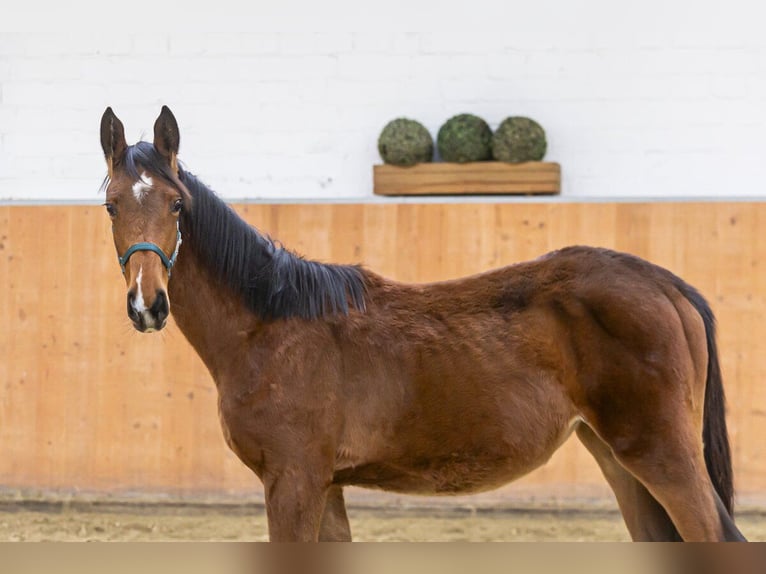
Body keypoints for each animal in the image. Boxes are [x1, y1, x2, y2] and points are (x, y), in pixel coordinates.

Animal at [99, 106, 748, 544]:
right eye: (111, 205)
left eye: (176, 204)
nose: (148, 304)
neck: (272, 327)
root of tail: (666, 285)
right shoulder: (326, 484)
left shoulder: (293, 480)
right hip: (617, 457)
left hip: (660, 453)